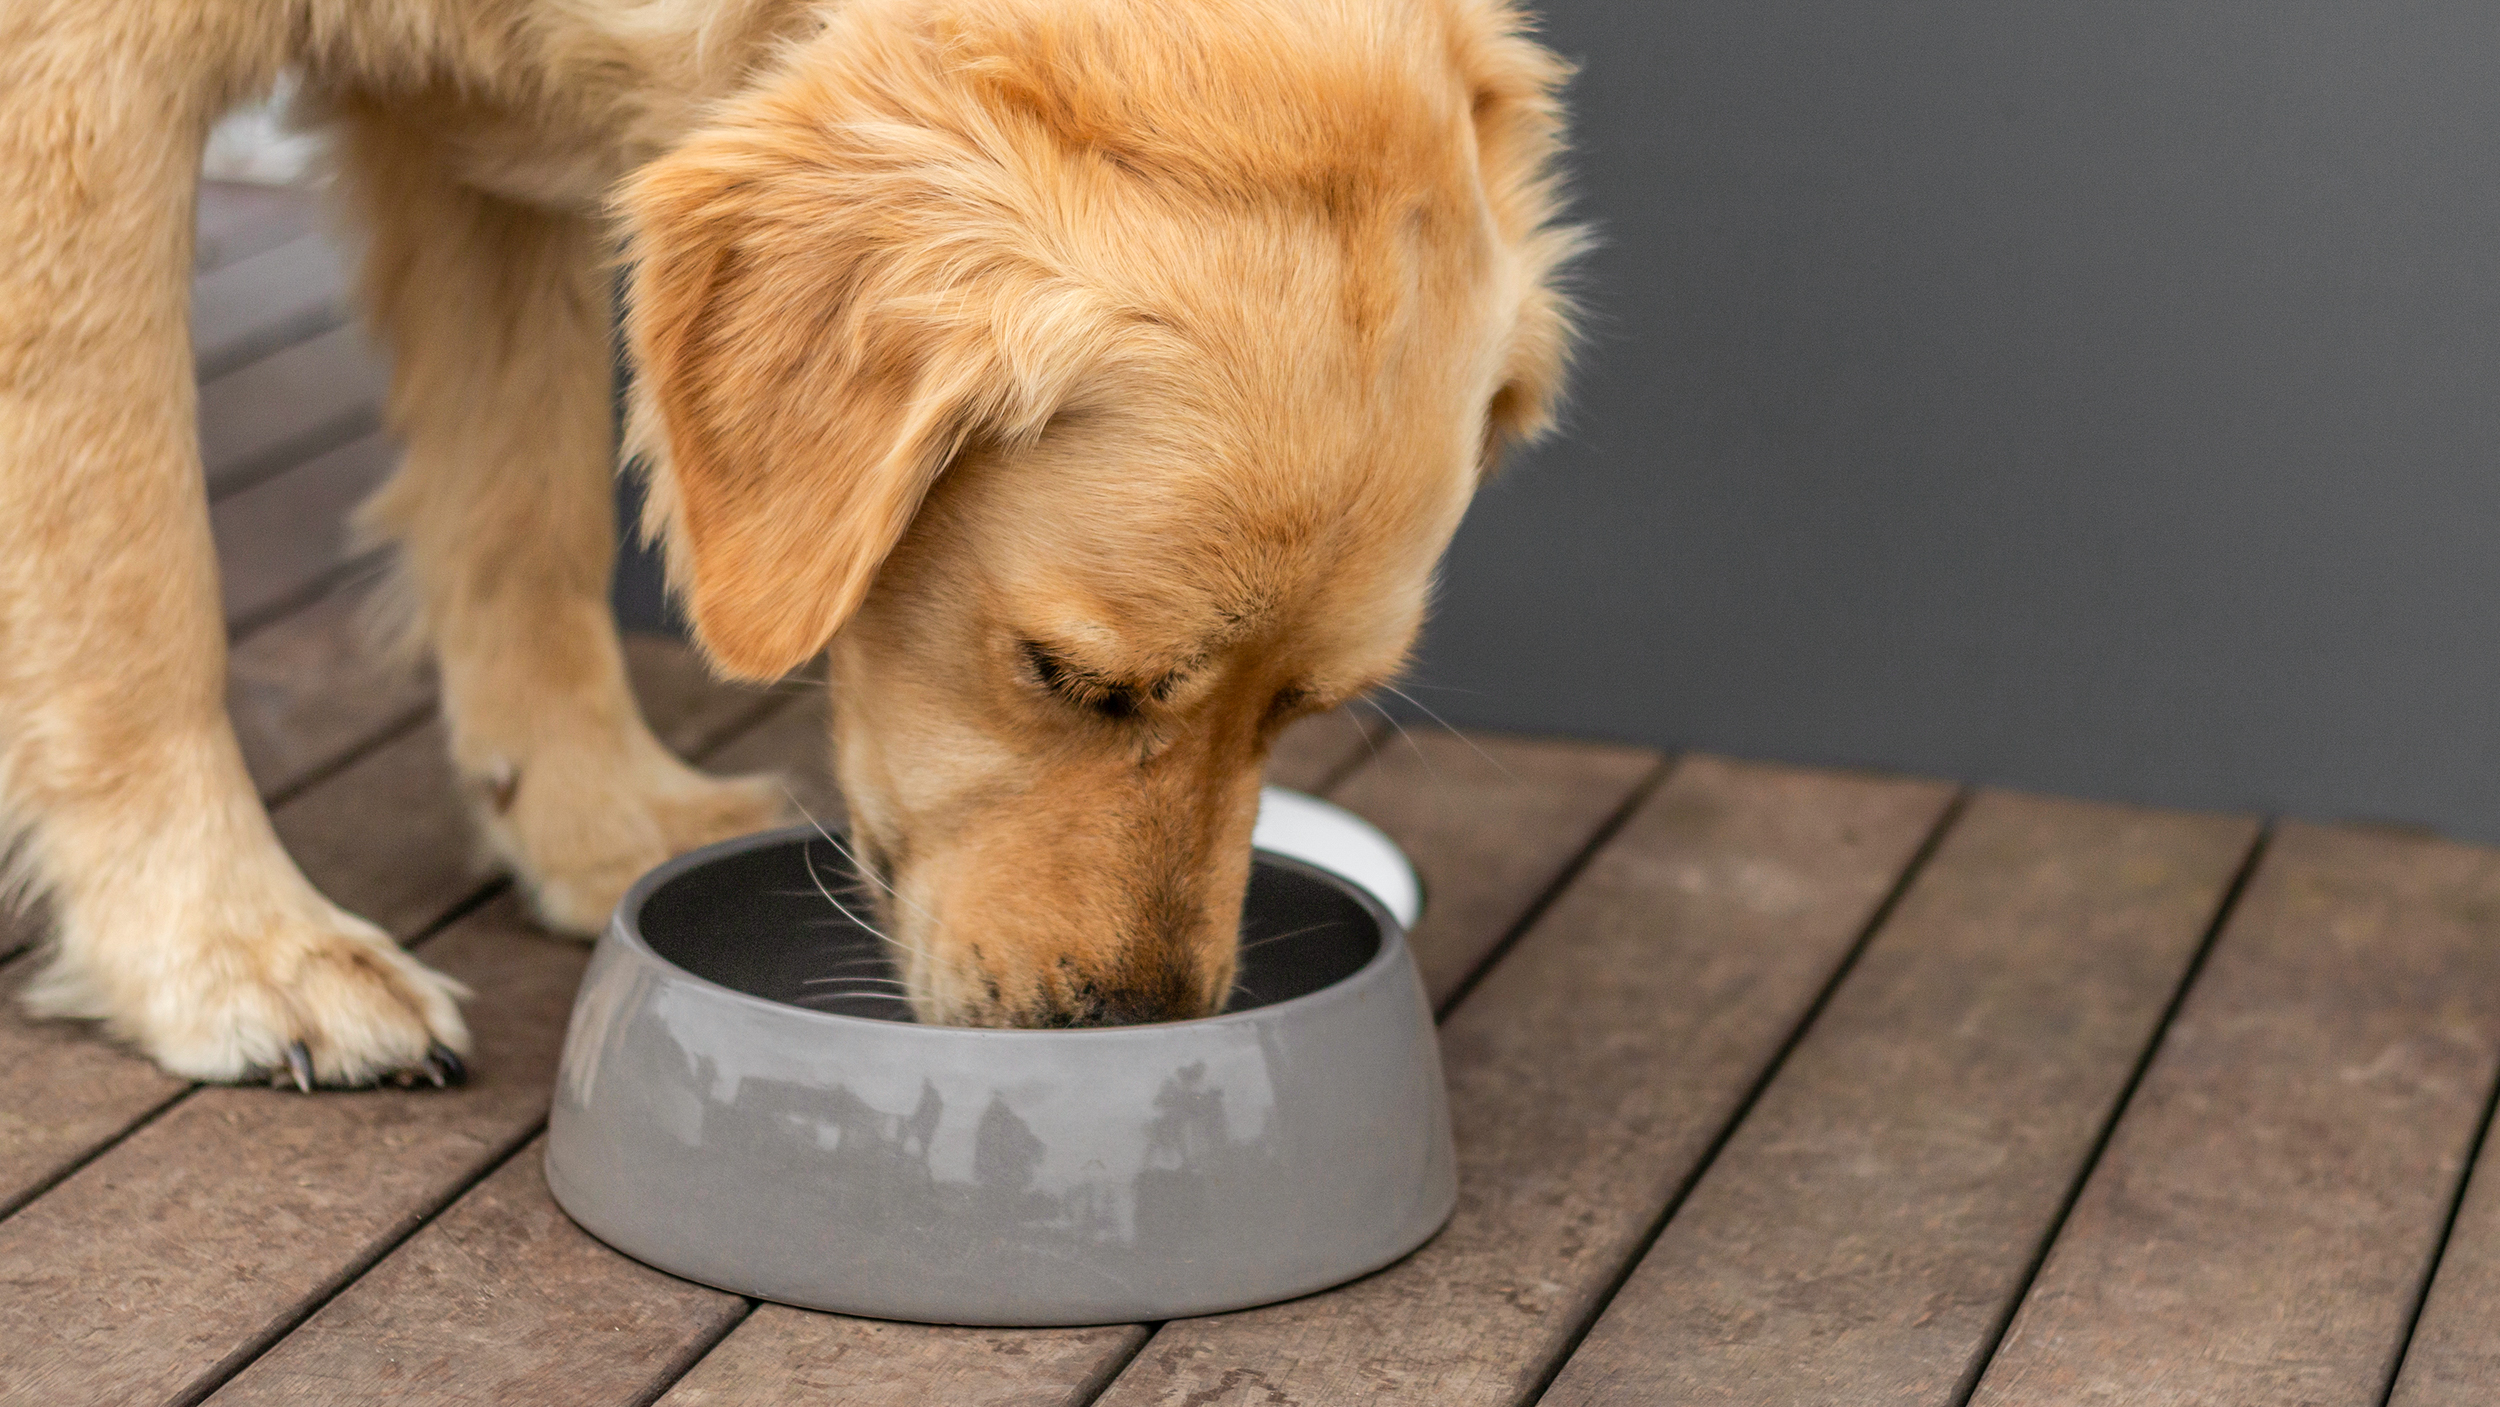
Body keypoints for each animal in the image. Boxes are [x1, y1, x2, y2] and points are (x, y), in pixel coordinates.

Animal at [0, 0, 1580, 1089]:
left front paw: (592, 819)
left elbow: (527, 511)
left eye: (1301, 714)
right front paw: (224, 942)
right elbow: (128, 569)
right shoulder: (79, 79)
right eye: (1065, 676)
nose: (1128, 1031)